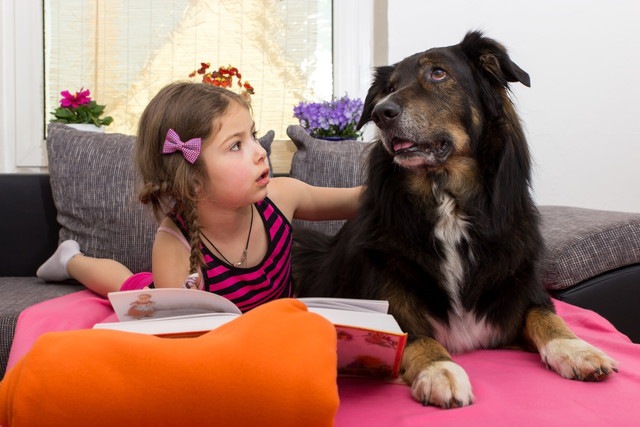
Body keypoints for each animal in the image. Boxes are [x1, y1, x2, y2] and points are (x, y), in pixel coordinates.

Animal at [294, 32, 616, 408]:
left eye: (438, 73)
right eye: (389, 86)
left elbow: (547, 315)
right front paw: (440, 369)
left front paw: (577, 349)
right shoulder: (385, 299)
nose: (380, 112)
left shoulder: (520, 288)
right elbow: (413, 334)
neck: (447, 199)